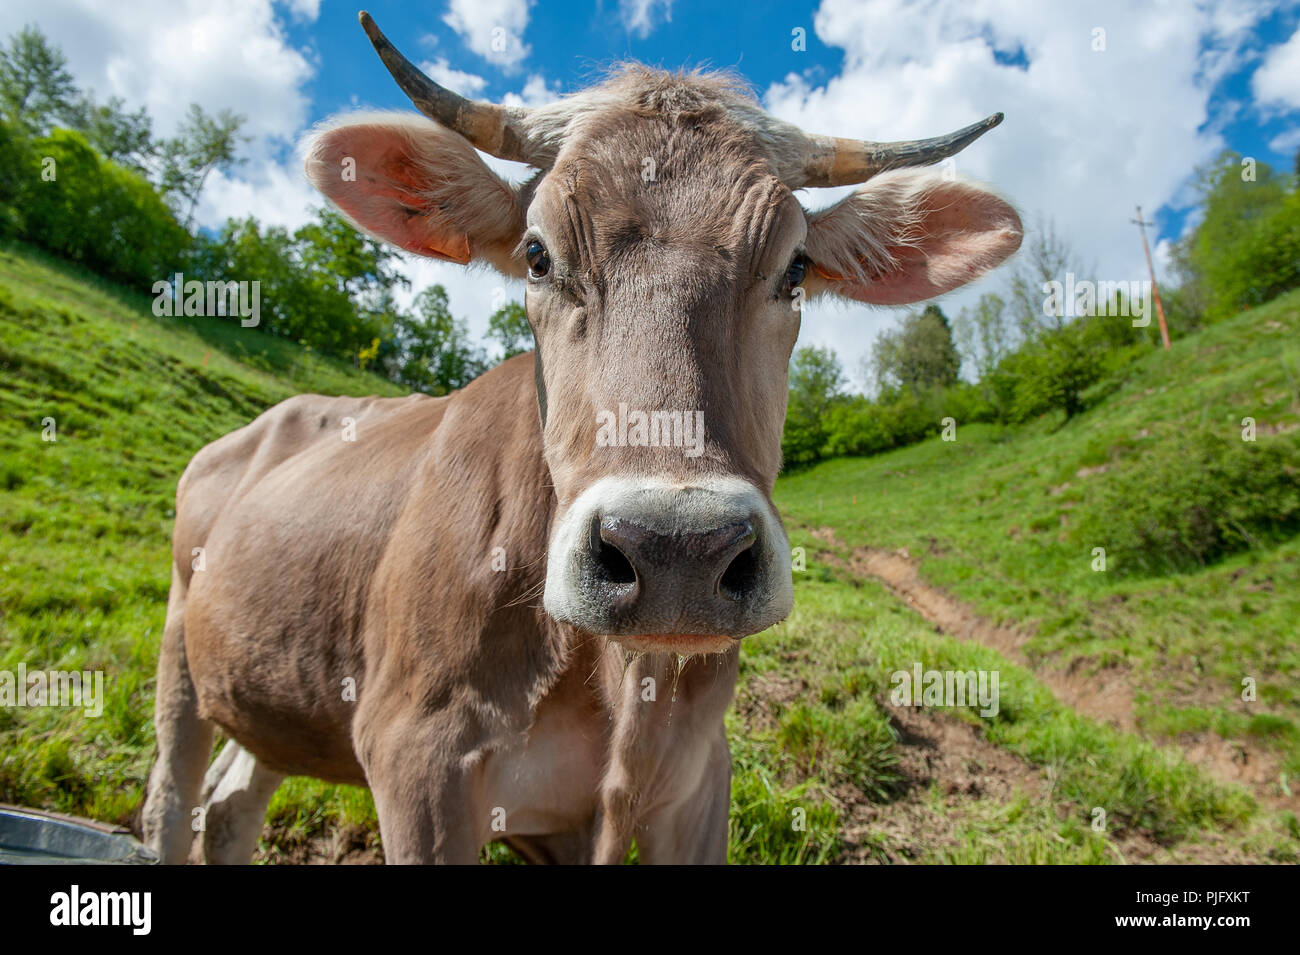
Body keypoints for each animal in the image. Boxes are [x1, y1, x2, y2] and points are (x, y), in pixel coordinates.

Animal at [140, 11, 1021, 865]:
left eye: (796, 268)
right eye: (537, 254)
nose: (677, 550)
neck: (621, 681)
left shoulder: (699, 781)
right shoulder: (416, 759)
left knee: (231, 803)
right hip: (180, 648)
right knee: (172, 802)